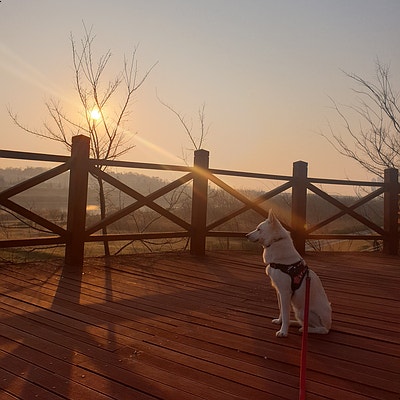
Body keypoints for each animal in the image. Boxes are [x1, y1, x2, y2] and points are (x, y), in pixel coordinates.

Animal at [247, 209, 332, 338]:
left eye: (259, 229)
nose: (246, 235)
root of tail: (329, 323)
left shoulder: (285, 292)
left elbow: (286, 313)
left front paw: (283, 331)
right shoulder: (279, 291)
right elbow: (281, 310)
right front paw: (280, 322)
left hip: (302, 311)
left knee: (322, 330)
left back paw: (303, 329)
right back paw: (295, 323)